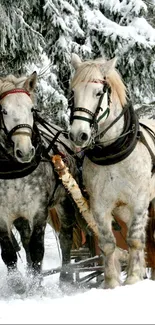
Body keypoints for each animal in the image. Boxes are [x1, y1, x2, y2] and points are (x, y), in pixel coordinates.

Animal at [69, 53, 155, 288]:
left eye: (98, 92)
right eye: (73, 92)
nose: (78, 135)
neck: (113, 153)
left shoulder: (139, 201)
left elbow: (134, 239)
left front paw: (133, 278)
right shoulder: (100, 205)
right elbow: (108, 243)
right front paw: (111, 283)